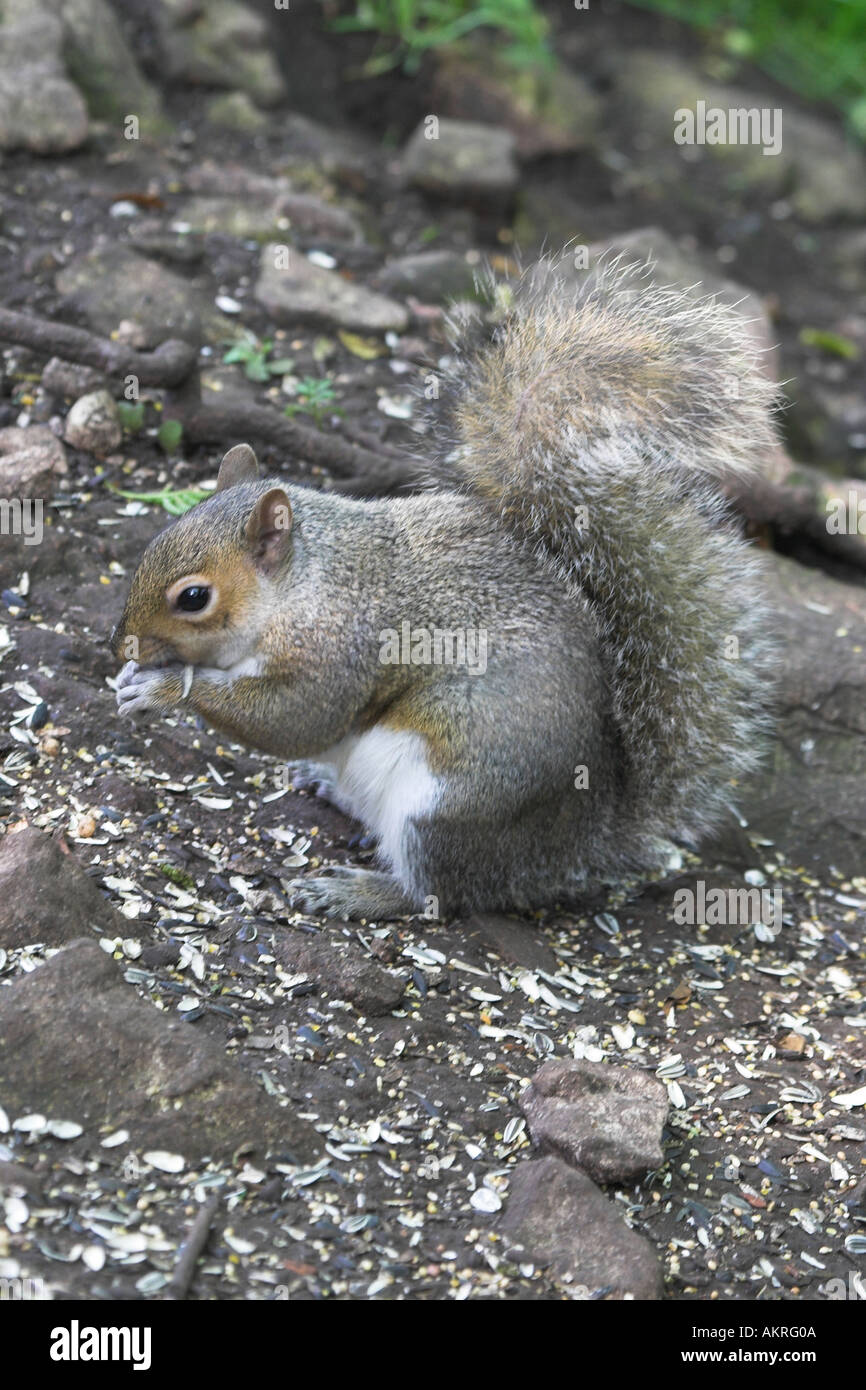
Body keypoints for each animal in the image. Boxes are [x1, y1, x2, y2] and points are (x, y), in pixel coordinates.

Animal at [111, 254, 778, 922]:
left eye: (193, 598)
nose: (123, 647)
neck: (303, 585)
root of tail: (577, 845)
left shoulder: (344, 648)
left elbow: (298, 719)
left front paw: (163, 689)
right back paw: (327, 787)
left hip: (445, 806)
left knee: (436, 892)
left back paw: (360, 891)